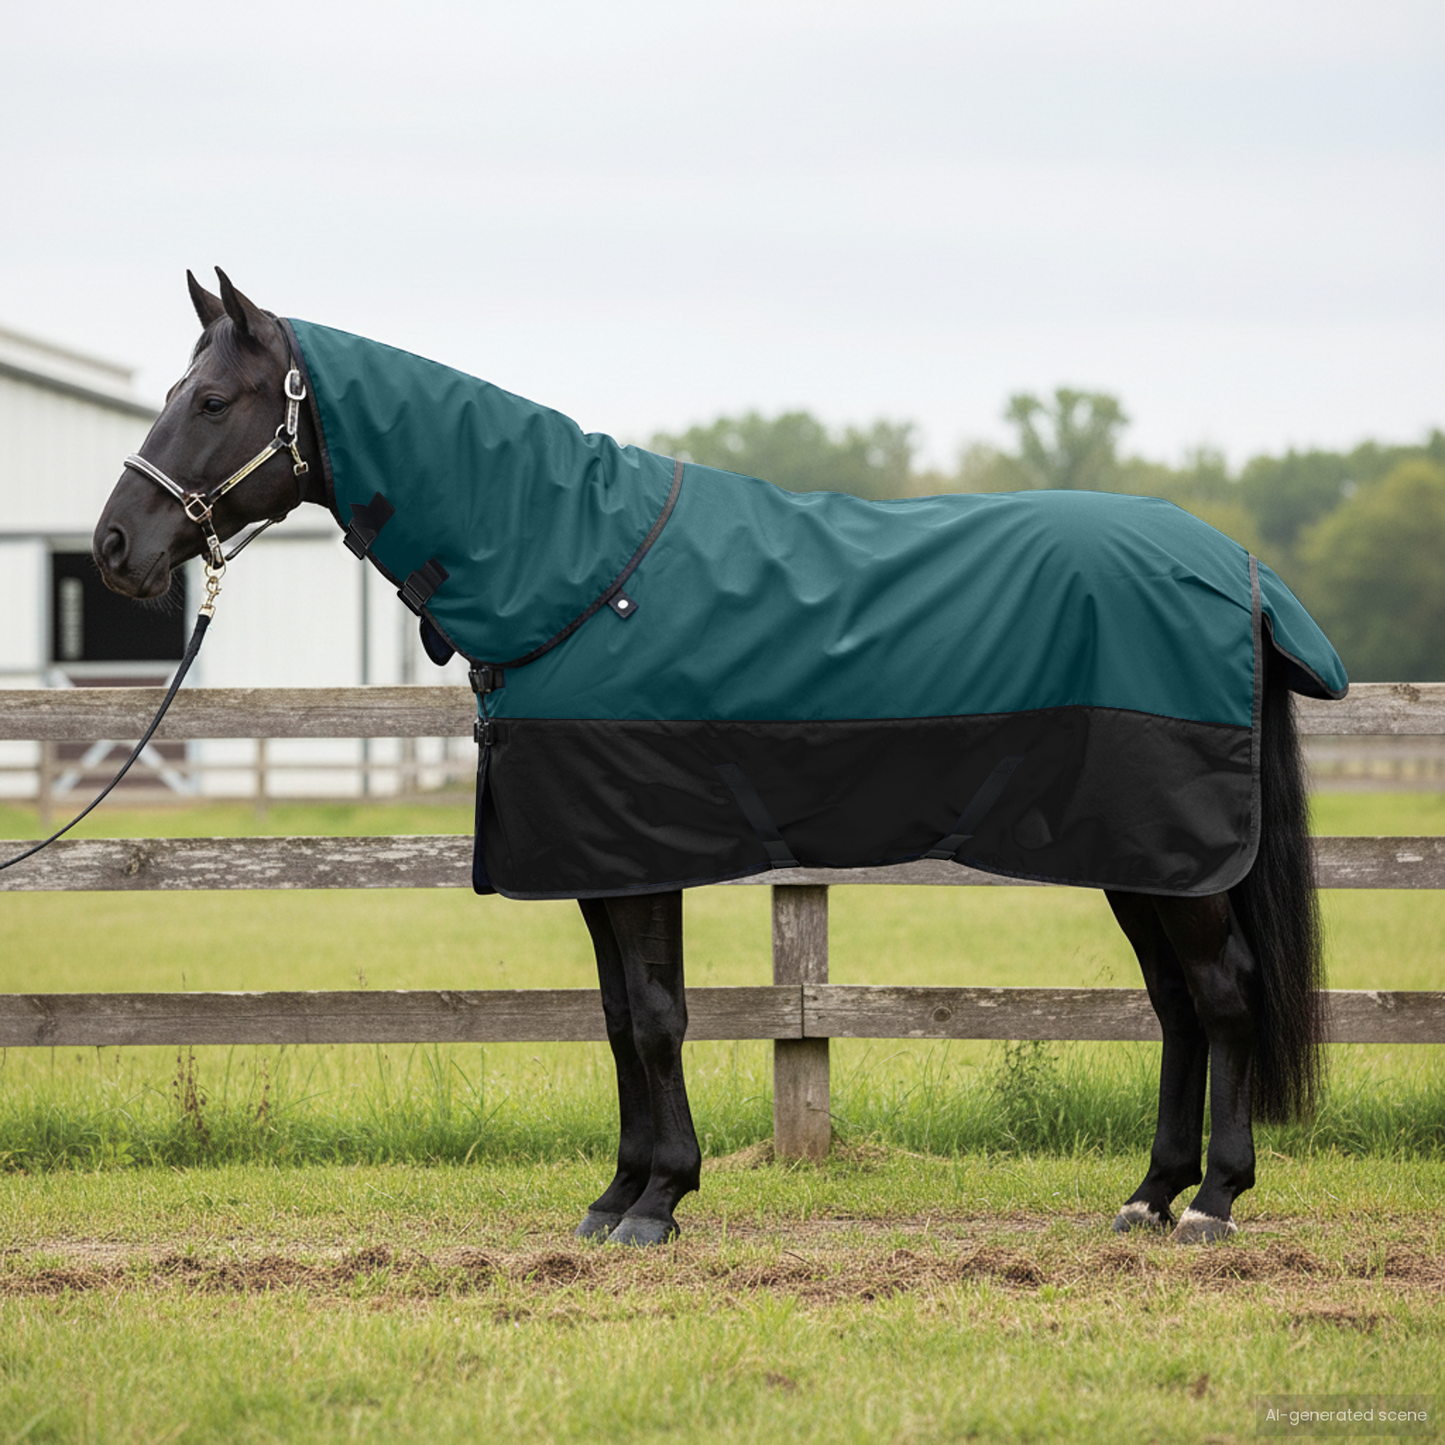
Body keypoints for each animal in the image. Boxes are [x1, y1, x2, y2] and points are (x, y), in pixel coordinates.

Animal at [92, 269, 1343, 1247]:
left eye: (211, 399)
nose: (114, 546)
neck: (576, 571)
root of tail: (1236, 569)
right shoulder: (597, 861)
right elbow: (616, 1018)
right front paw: (616, 1195)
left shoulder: (638, 853)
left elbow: (654, 1016)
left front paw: (657, 1202)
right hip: (1138, 858)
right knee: (1177, 1007)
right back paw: (1147, 1194)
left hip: (1169, 853)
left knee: (1221, 995)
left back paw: (1211, 1202)